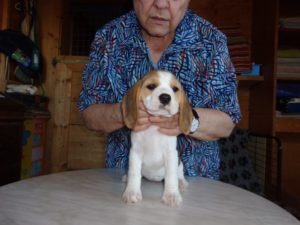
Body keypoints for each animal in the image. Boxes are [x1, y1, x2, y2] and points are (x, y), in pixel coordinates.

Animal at [121, 69, 193, 207]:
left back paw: (181, 182)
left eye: (175, 89)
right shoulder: (135, 152)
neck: (154, 128)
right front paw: (132, 192)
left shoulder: (171, 154)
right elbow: (134, 173)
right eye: (151, 86)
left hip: (180, 161)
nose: (165, 97)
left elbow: (171, 175)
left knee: (179, 173)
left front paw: (171, 195)